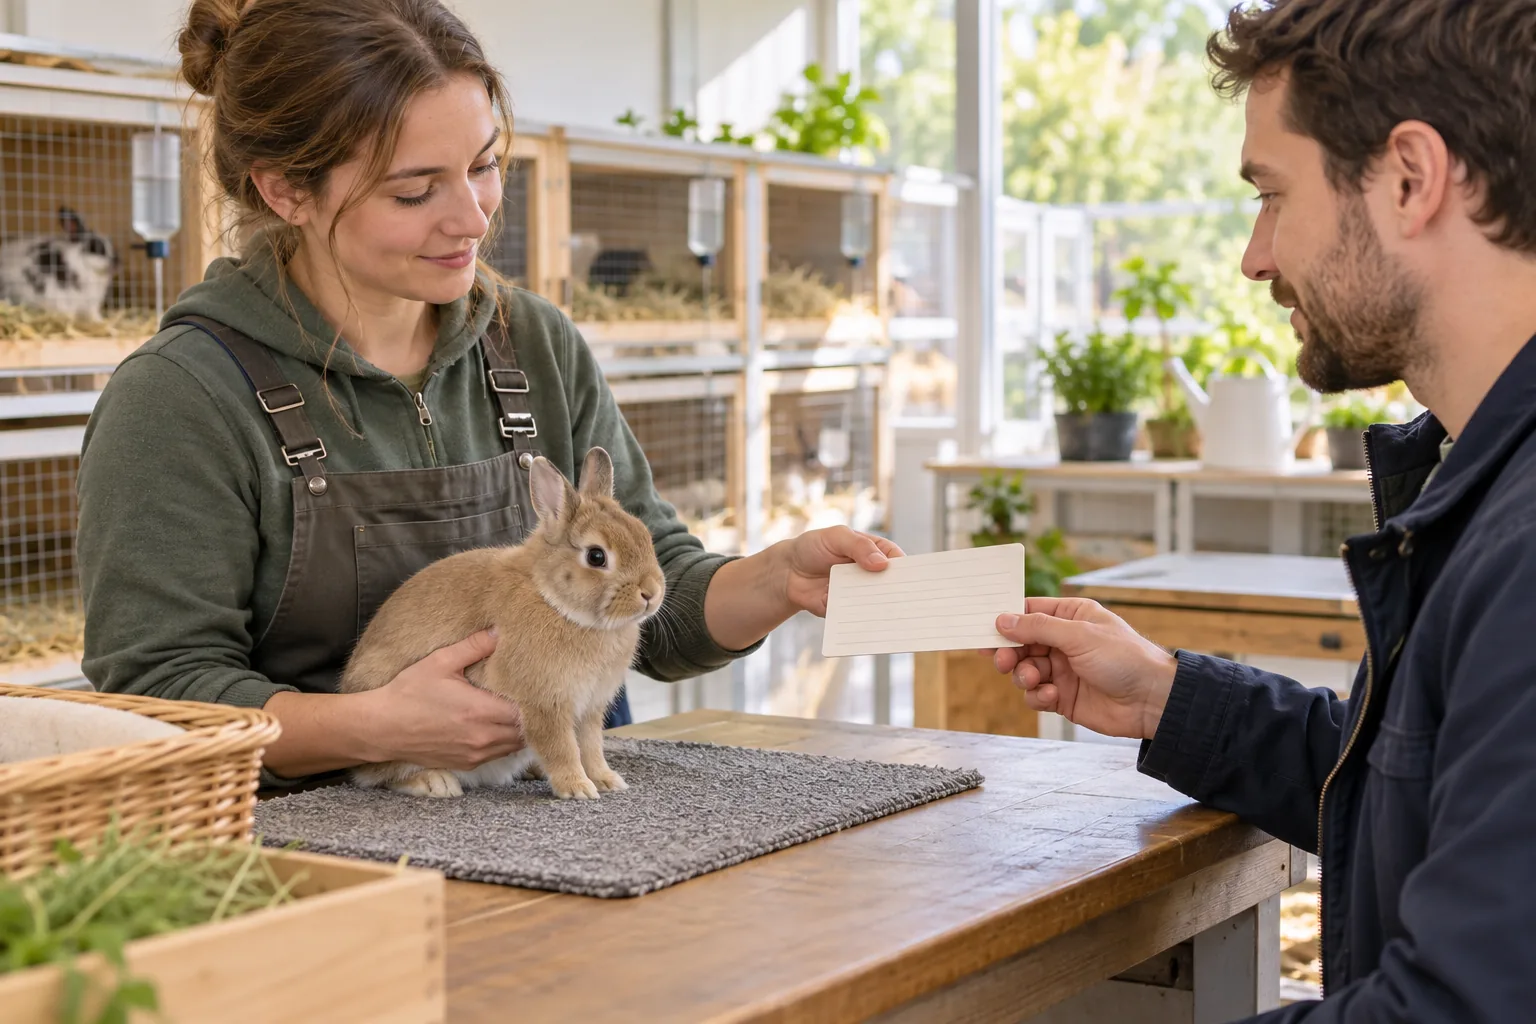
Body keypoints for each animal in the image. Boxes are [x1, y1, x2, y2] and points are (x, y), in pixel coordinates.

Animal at [338, 446, 666, 800]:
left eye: (645, 536)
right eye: (596, 556)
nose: (651, 593)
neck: (554, 600)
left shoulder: (590, 708)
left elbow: (591, 747)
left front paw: (606, 780)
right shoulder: (544, 704)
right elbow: (562, 748)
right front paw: (577, 789)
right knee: (379, 774)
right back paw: (435, 783)